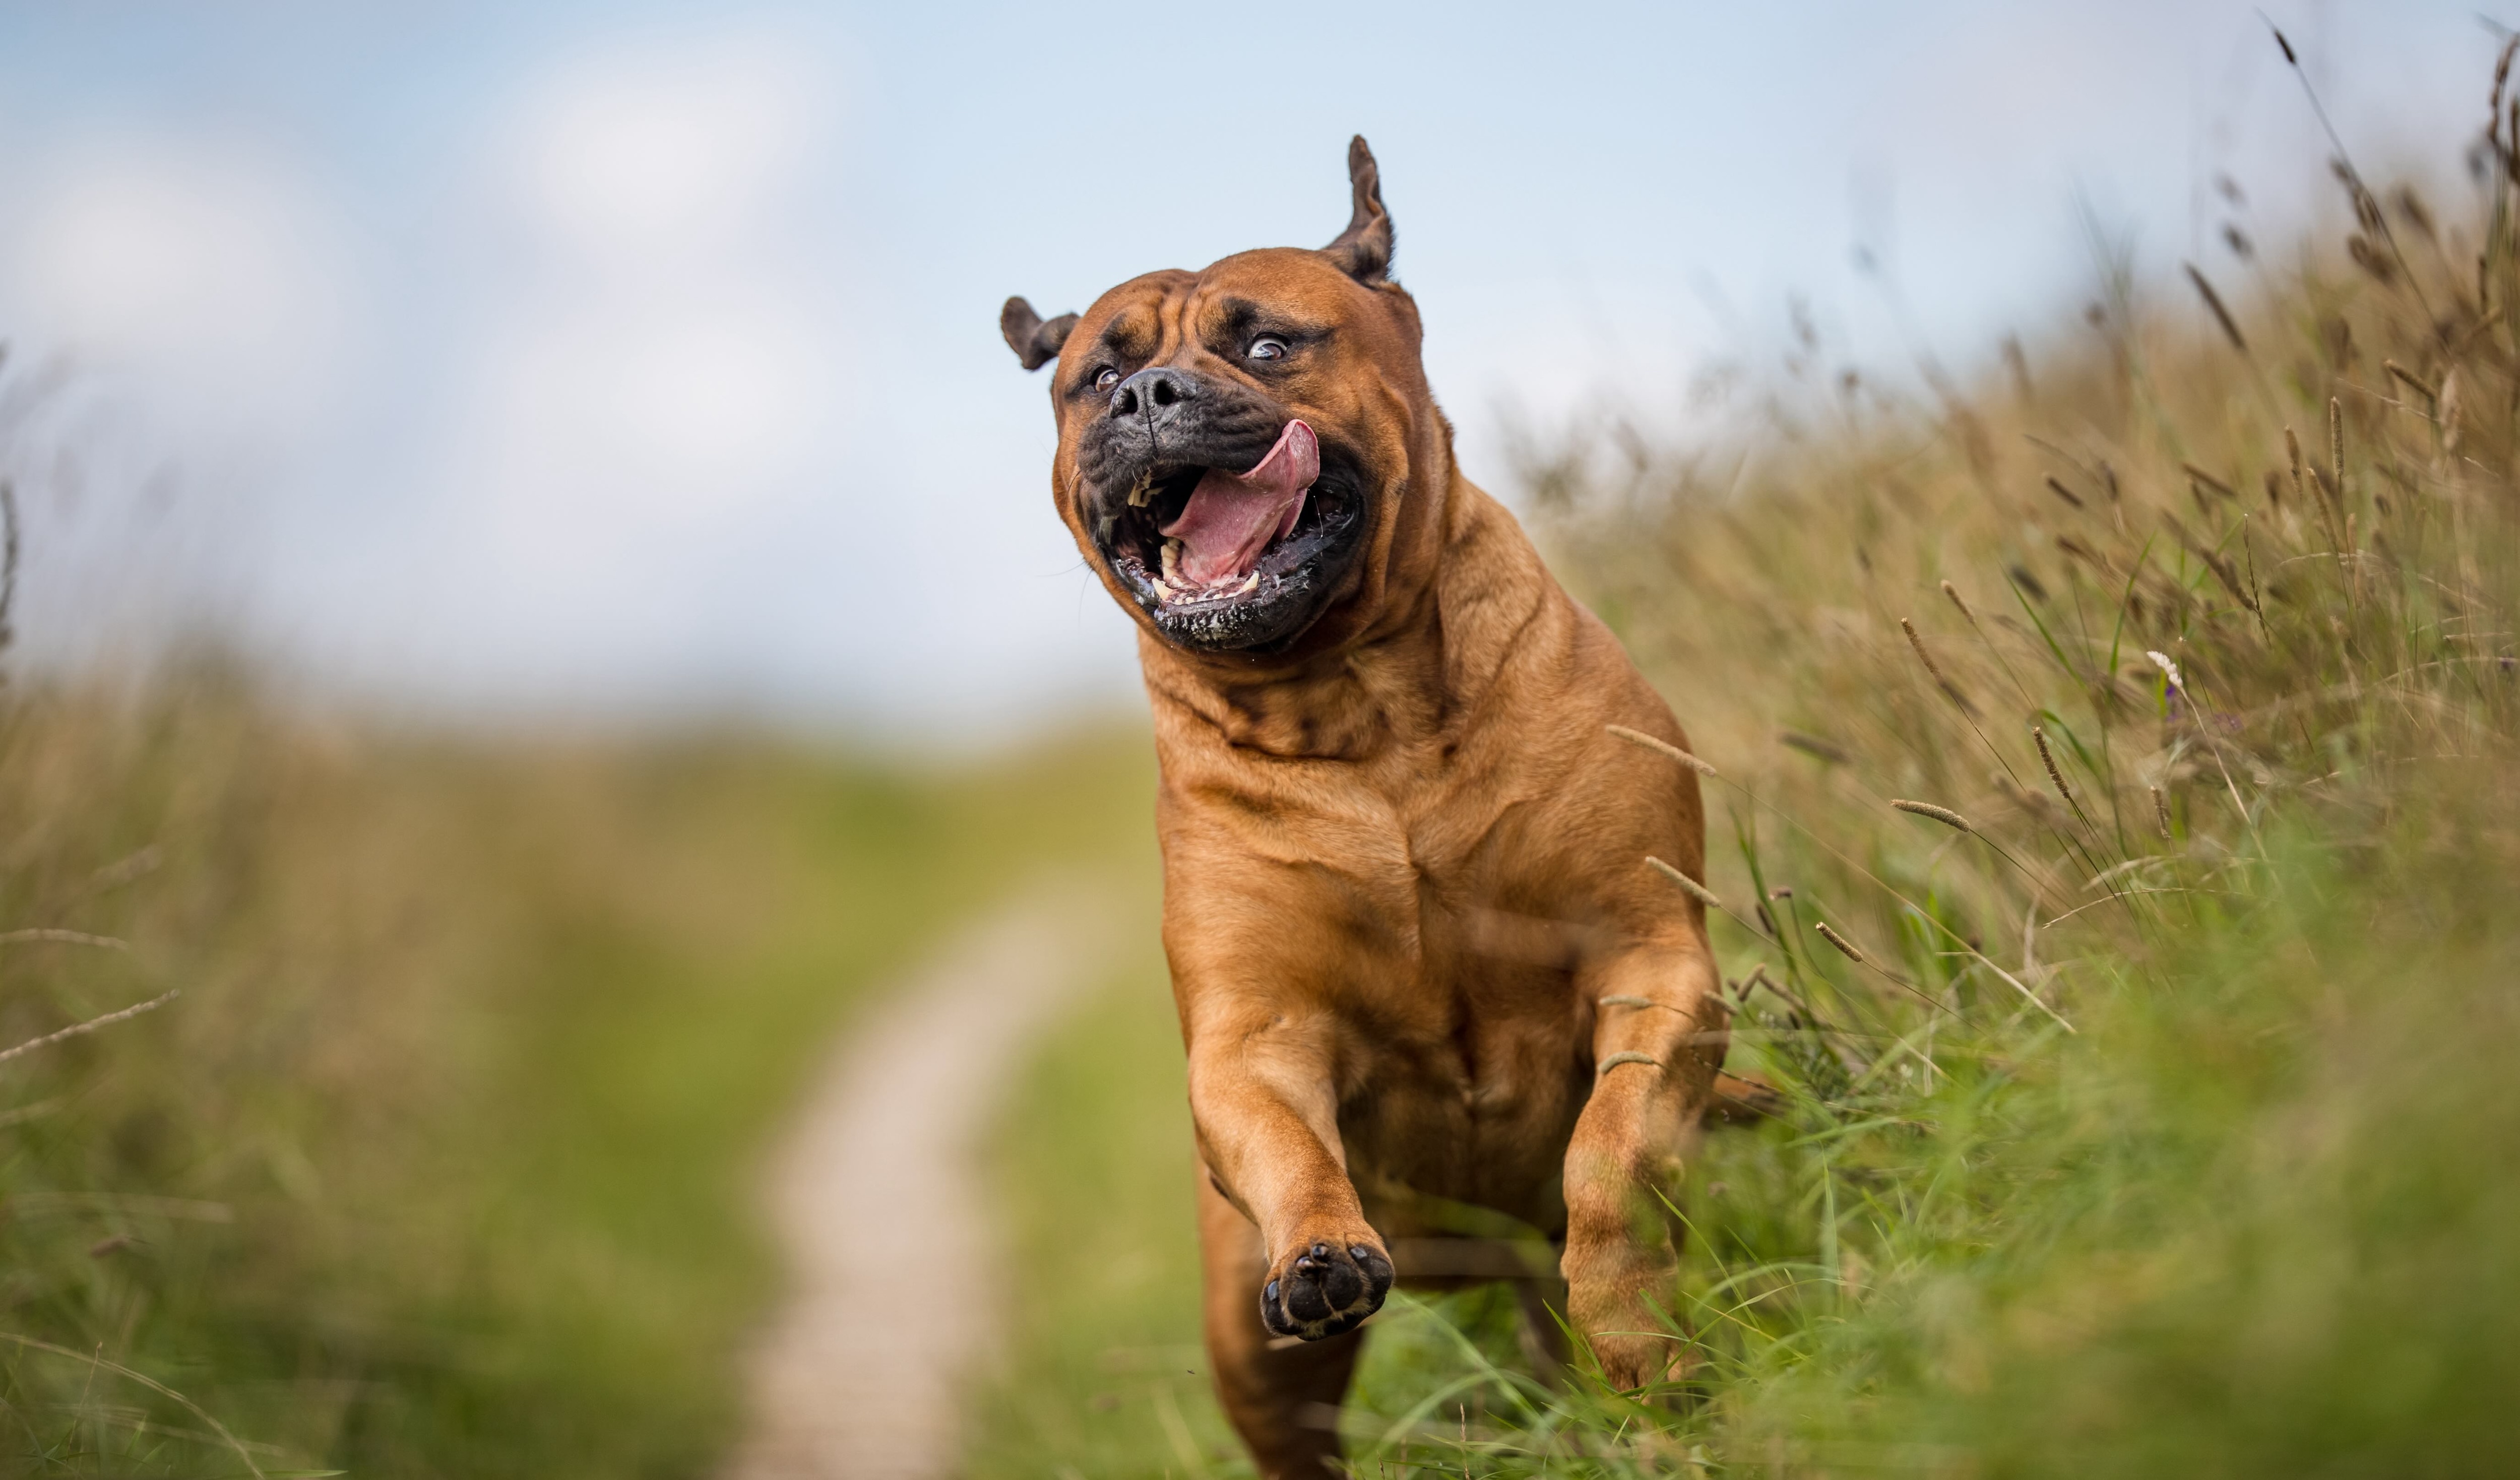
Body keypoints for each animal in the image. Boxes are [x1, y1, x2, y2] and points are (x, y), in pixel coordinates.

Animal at [1003, 136, 1734, 1472]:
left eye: (1264, 344)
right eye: (1101, 377)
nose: (1147, 400)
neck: (1357, 706)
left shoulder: (1651, 955)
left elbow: (1608, 1153)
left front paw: (1633, 1327)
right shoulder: (1253, 1033)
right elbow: (1290, 1139)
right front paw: (1321, 1246)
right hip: (1249, 1352)